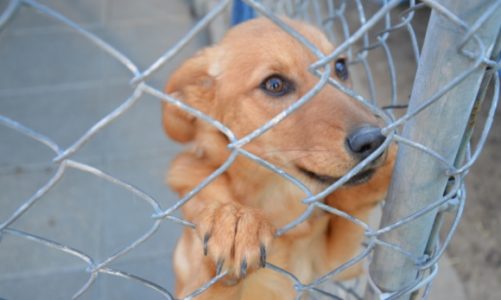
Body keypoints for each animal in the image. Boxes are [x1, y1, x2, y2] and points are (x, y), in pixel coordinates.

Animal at [162, 17, 396, 298]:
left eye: (340, 67)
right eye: (274, 84)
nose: (374, 140)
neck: (279, 198)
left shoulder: (336, 264)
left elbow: (350, 215)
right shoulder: (192, 288)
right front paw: (235, 220)